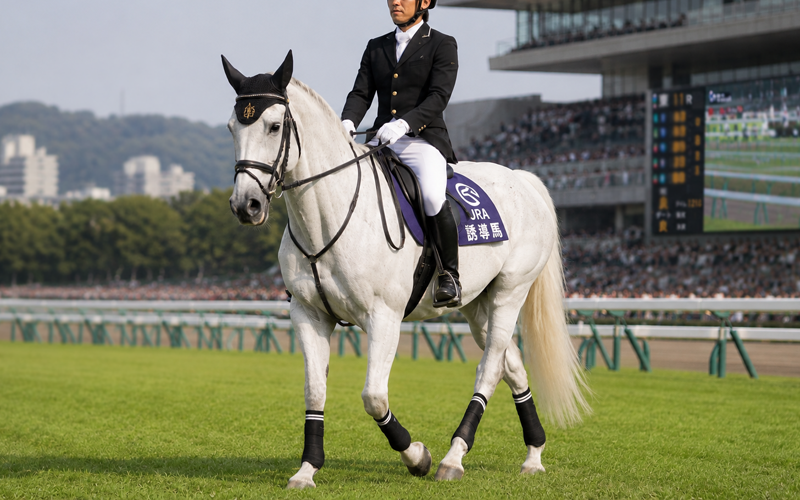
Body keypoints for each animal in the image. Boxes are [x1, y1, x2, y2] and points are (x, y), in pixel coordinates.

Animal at [224, 51, 589, 489]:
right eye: (232, 128)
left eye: (274, 126)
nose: (246, 206)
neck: (329, 216)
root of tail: (523, 179)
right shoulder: (308, 314)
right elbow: (315, 391)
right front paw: (307, 469)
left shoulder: (384, 317)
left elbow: (373, 396)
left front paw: (417, 457)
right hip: (476, 304)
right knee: (510, 365)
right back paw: (533, 455)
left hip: (509, 293)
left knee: (489, 368)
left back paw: (453, 458)